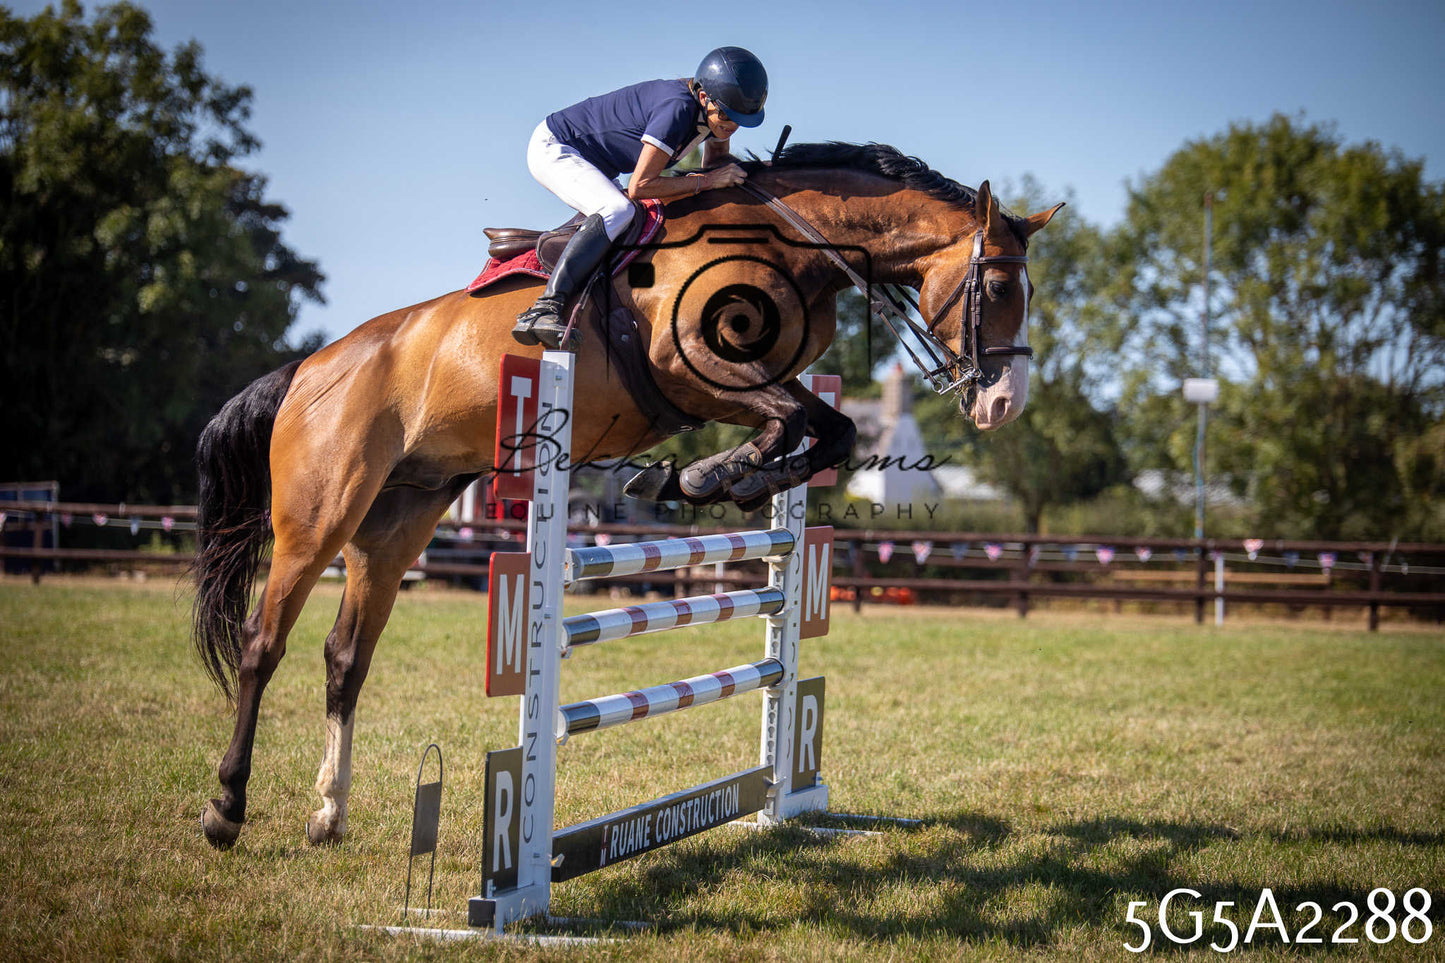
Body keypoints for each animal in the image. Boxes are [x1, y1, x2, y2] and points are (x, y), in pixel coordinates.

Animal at [192, 141, 1063, 848]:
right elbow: (797, 421)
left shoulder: (747, 384)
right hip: (318, 517)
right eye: (995, 286)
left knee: (346, 657)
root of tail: (309, 368)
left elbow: (827, 427)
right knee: (262, 645)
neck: (784, 240)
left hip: (397, 521)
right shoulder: (688, 368)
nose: (1003, 404)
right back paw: (225, 809)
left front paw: (708, 477)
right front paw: (704, 475)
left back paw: (327, 813)